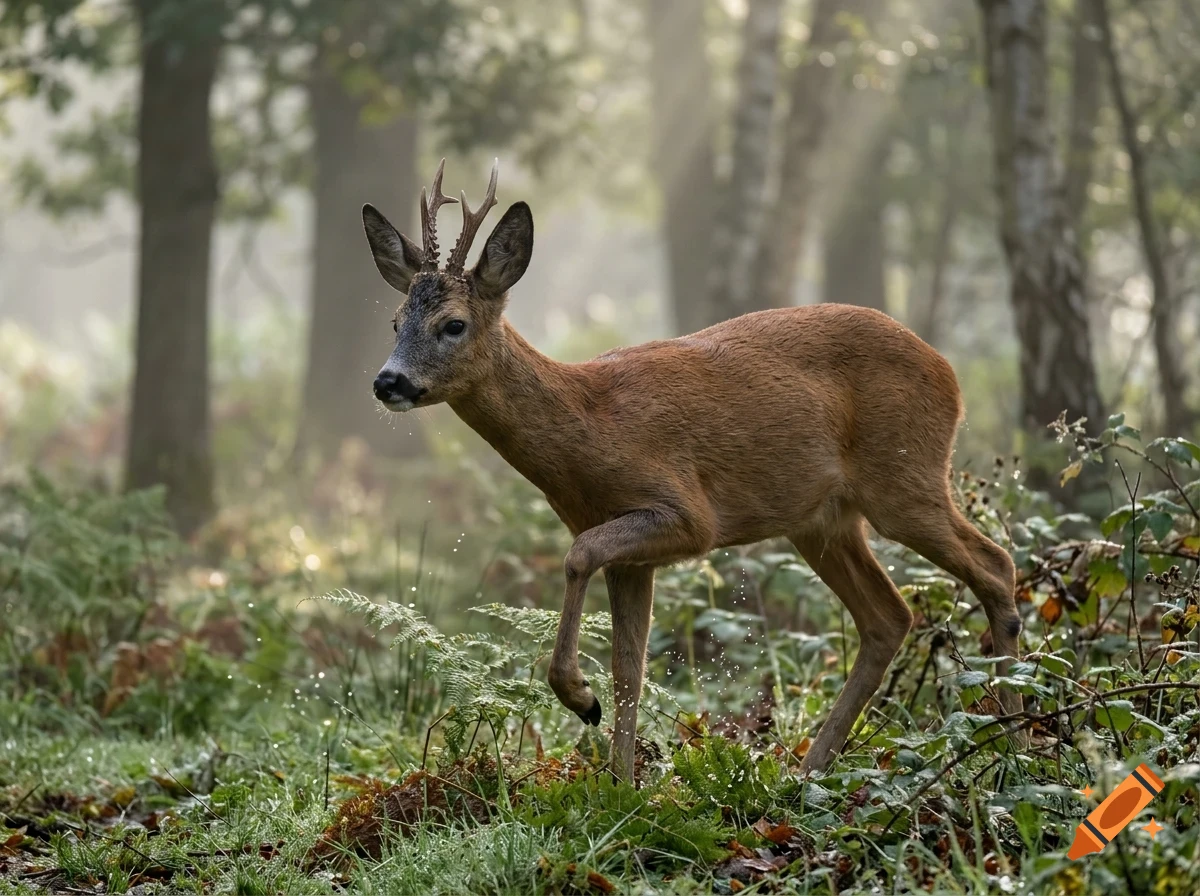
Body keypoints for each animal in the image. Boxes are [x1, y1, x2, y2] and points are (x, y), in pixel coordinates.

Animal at [360, 160, 1024, 783]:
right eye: (394, 322)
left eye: (453, 324)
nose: (388, 381)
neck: (590, 424)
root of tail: (949, 371)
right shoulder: (631, 553)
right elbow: (630, 667)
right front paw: (621, 786)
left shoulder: (685, 512)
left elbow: (578, 556)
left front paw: (580, 700)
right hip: (822, 521)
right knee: (890, 617)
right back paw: (810, 769)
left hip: (904, 477)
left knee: (994, 565)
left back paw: (1013, 742)